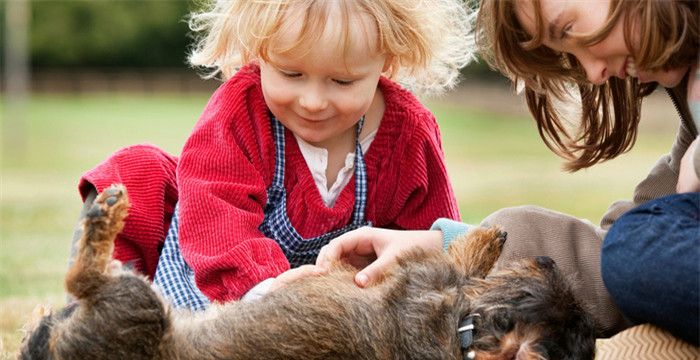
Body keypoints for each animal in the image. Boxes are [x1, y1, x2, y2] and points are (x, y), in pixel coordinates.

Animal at [19, 186, 592, 360]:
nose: (548, 258)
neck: (459, 332)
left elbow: (458, 260)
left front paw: (482, 240)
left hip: (137, 305)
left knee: (81, 278)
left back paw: (101, 214)